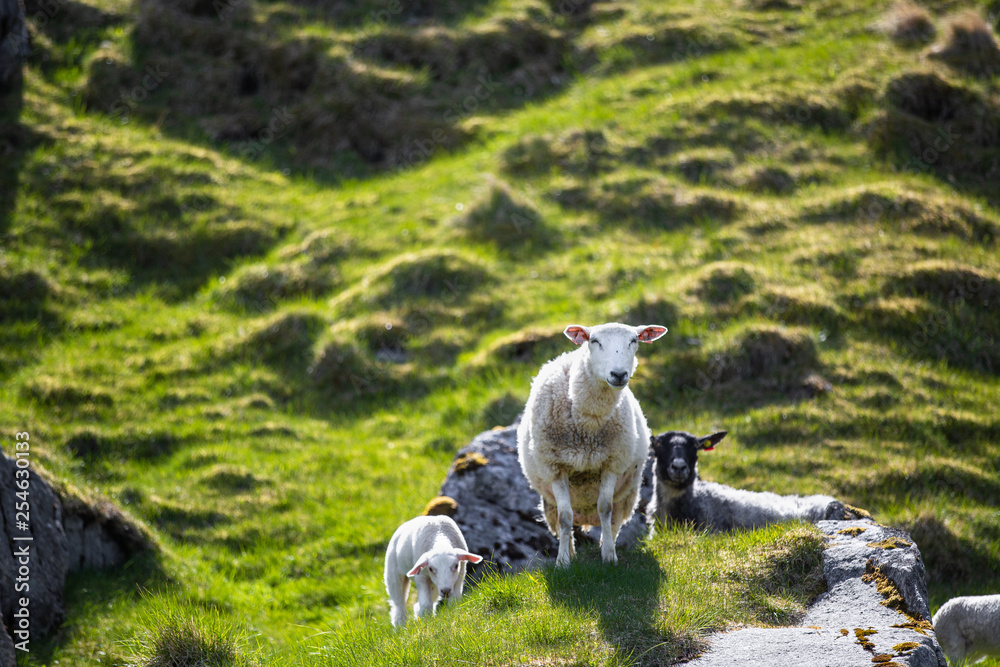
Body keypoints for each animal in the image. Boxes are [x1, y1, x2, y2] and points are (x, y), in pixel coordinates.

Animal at [520, 320, 668, 568]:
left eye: (634, 340)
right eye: (594, 341)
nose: (618, 374)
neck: (587, 425)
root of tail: (585, 514)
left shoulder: (611, 463)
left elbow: (605, 509)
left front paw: (608, 556)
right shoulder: (555, 466)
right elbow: (565, 517)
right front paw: (563, 562)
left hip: (627, 496)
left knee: (614, 519)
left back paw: (605, 545)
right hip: (548, 501)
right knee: (562, 521)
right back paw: (570, 552)